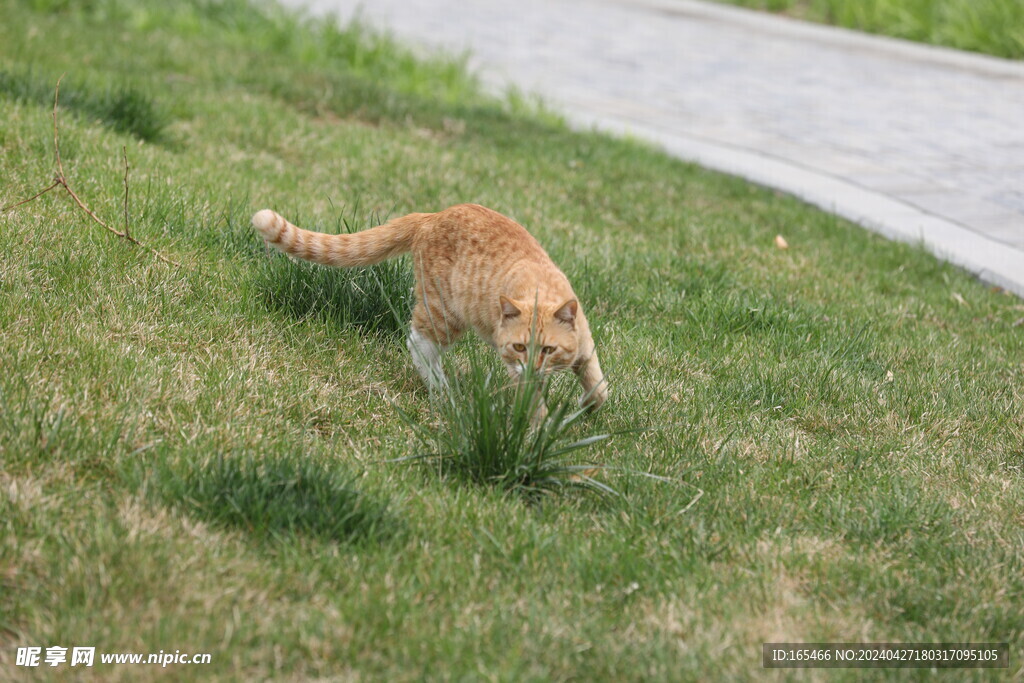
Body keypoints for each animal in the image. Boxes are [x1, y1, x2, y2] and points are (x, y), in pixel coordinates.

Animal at [253, 202, 606, 411]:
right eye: (519, 346)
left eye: (547, 349)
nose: (532, 367)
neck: (538, 291)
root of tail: (432, 216)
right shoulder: (514, 367)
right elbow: (533, 405)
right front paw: (538, 429)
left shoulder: (585, 346)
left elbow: (599, 387)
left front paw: (586, 406)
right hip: (445, 311)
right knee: (418, 342)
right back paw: (443, 391)